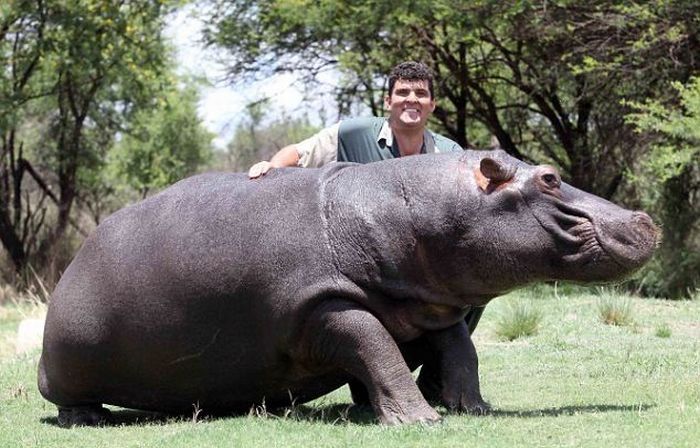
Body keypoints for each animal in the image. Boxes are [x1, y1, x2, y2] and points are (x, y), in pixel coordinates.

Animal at [38, 149, 660, 426]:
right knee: (69, 400)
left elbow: (461, 349)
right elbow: (375, 346)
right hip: (69, 366)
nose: (645, 218)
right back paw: (90, 420)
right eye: (550, 177)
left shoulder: (427, 302)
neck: (413, 213)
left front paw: (472, 409)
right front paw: (422, 421)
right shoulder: (323, 304)